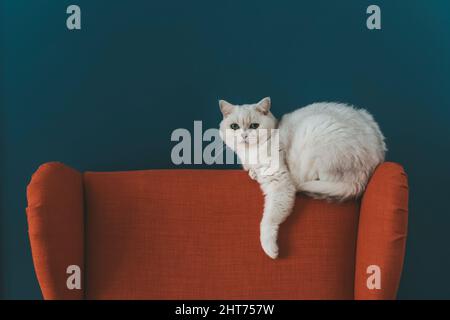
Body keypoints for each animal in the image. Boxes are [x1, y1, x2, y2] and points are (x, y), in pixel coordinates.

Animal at [219, 97, 386, 260]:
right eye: (234, 126)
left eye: (254, 126)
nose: (244, 136)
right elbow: (251, 171)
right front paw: (252, 173)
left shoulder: (280, 182)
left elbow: (269, 219)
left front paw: (270, 249)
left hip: (316, 134)